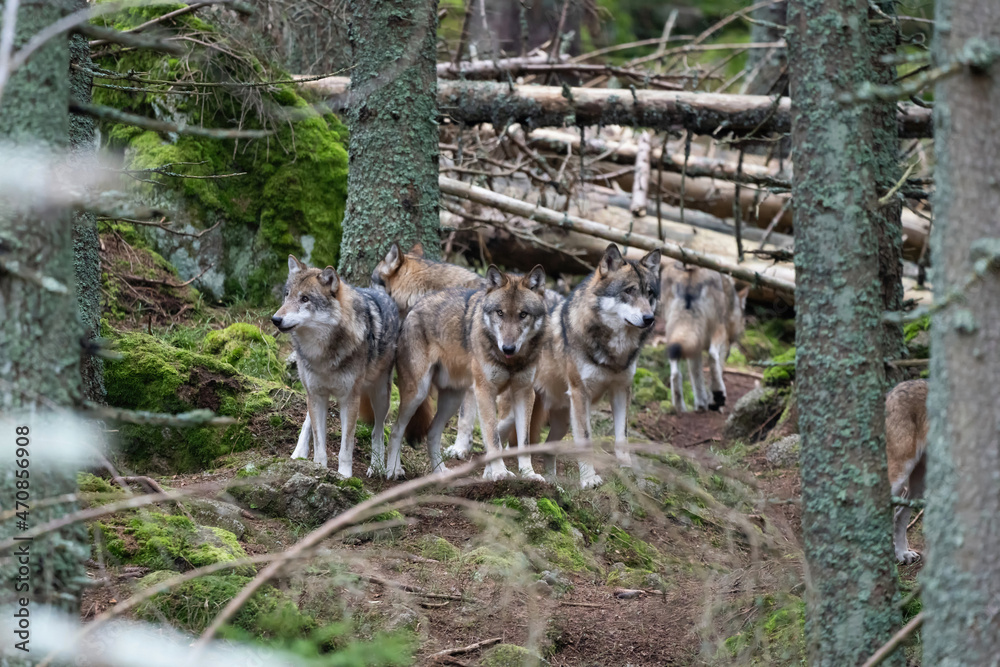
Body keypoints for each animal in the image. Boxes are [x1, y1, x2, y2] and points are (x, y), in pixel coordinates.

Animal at [271, 256, 399, 479]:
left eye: (305, 299)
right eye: (287, 296)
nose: (275, 319)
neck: (322, 354)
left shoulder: (350, 398)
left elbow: (346, 447)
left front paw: (345, 476)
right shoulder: (316, 394)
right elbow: (319, 442)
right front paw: (318, 468)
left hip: (381, 395)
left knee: (378, 429)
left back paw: (378, 466)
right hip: (312, 393)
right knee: (308, 422)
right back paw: (298, 453)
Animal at [503, 244, 661, 489]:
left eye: (650, 293)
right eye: (628, 291)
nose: (649, 318)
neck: (614, 351)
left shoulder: (621, 390)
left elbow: (622, 438)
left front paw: (628, 472)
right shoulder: (580, 393)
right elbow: (585, 440)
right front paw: (589, 480)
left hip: (562, 419)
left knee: (546, 448)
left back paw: (553, 482)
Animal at [661, 262, 748, 412]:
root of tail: (689, 271)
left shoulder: (695, 349)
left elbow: (697, 378)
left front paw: (701, 404)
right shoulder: (725, 344)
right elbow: (717, 368)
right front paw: (713, 401)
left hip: (675, 334)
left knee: (675, 372)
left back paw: (680, 407)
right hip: (718, 330)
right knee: (712, 356)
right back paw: (719, 394)